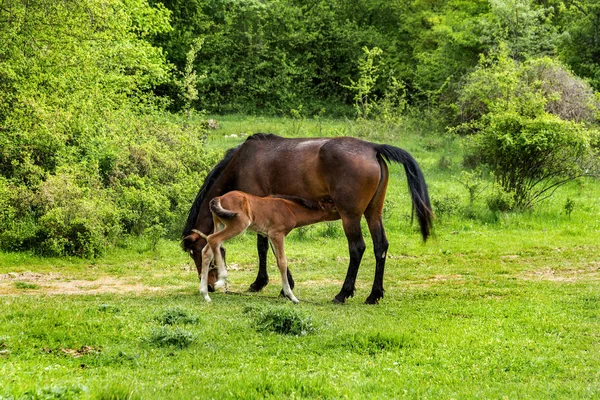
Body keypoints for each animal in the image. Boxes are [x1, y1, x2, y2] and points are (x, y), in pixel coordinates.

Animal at [188, 191, 338, 304]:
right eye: (333, 207)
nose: (342, 212)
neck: (290, 210)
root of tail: (219, 198)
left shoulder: (270, 236)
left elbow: (279, 260)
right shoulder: (277, 234)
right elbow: (282, 262)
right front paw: (292, 296)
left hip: (219, 224)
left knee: (207, 251)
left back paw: (205, 294)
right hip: (238, 224)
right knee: (214, 240)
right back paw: (221, 280)